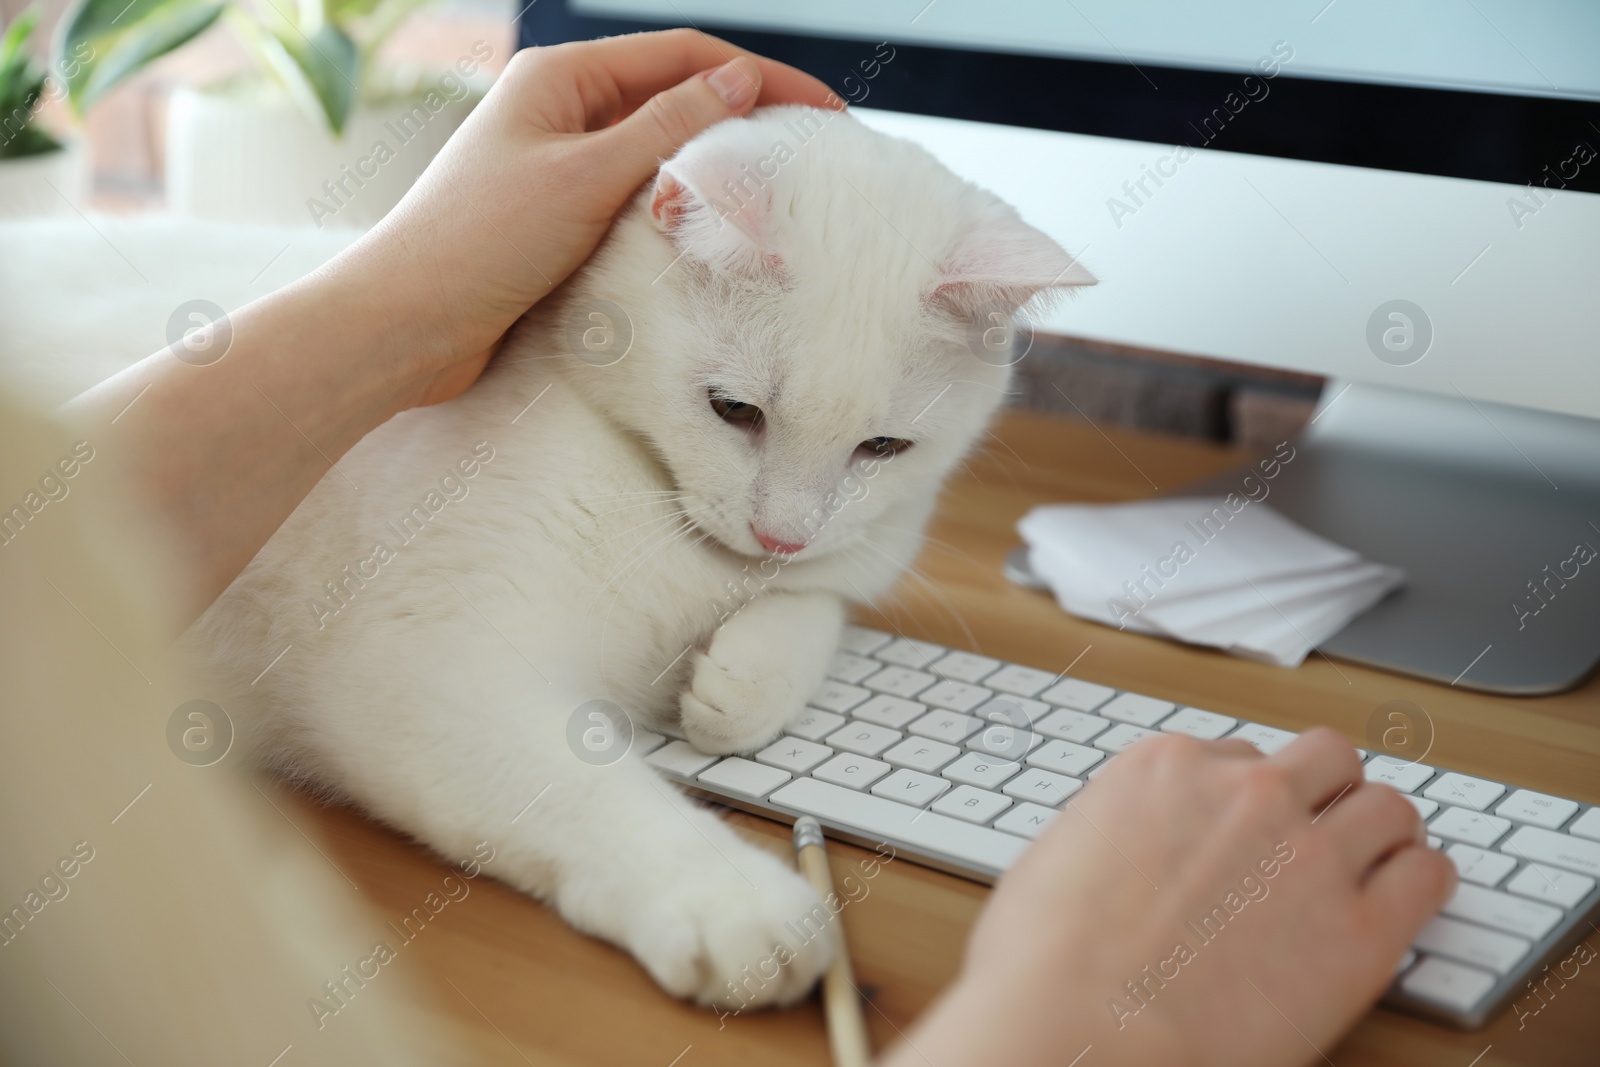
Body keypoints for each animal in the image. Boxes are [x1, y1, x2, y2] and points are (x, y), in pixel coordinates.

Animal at [184, 106, 1088, 1011]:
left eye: (884, 448)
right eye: (733, 409)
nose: (781, 535)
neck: (684, 543)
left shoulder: (845, 562)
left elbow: (815, 605)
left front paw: (738, 686)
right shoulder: (418, 657)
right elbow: (582, 781)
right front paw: (732, 900)